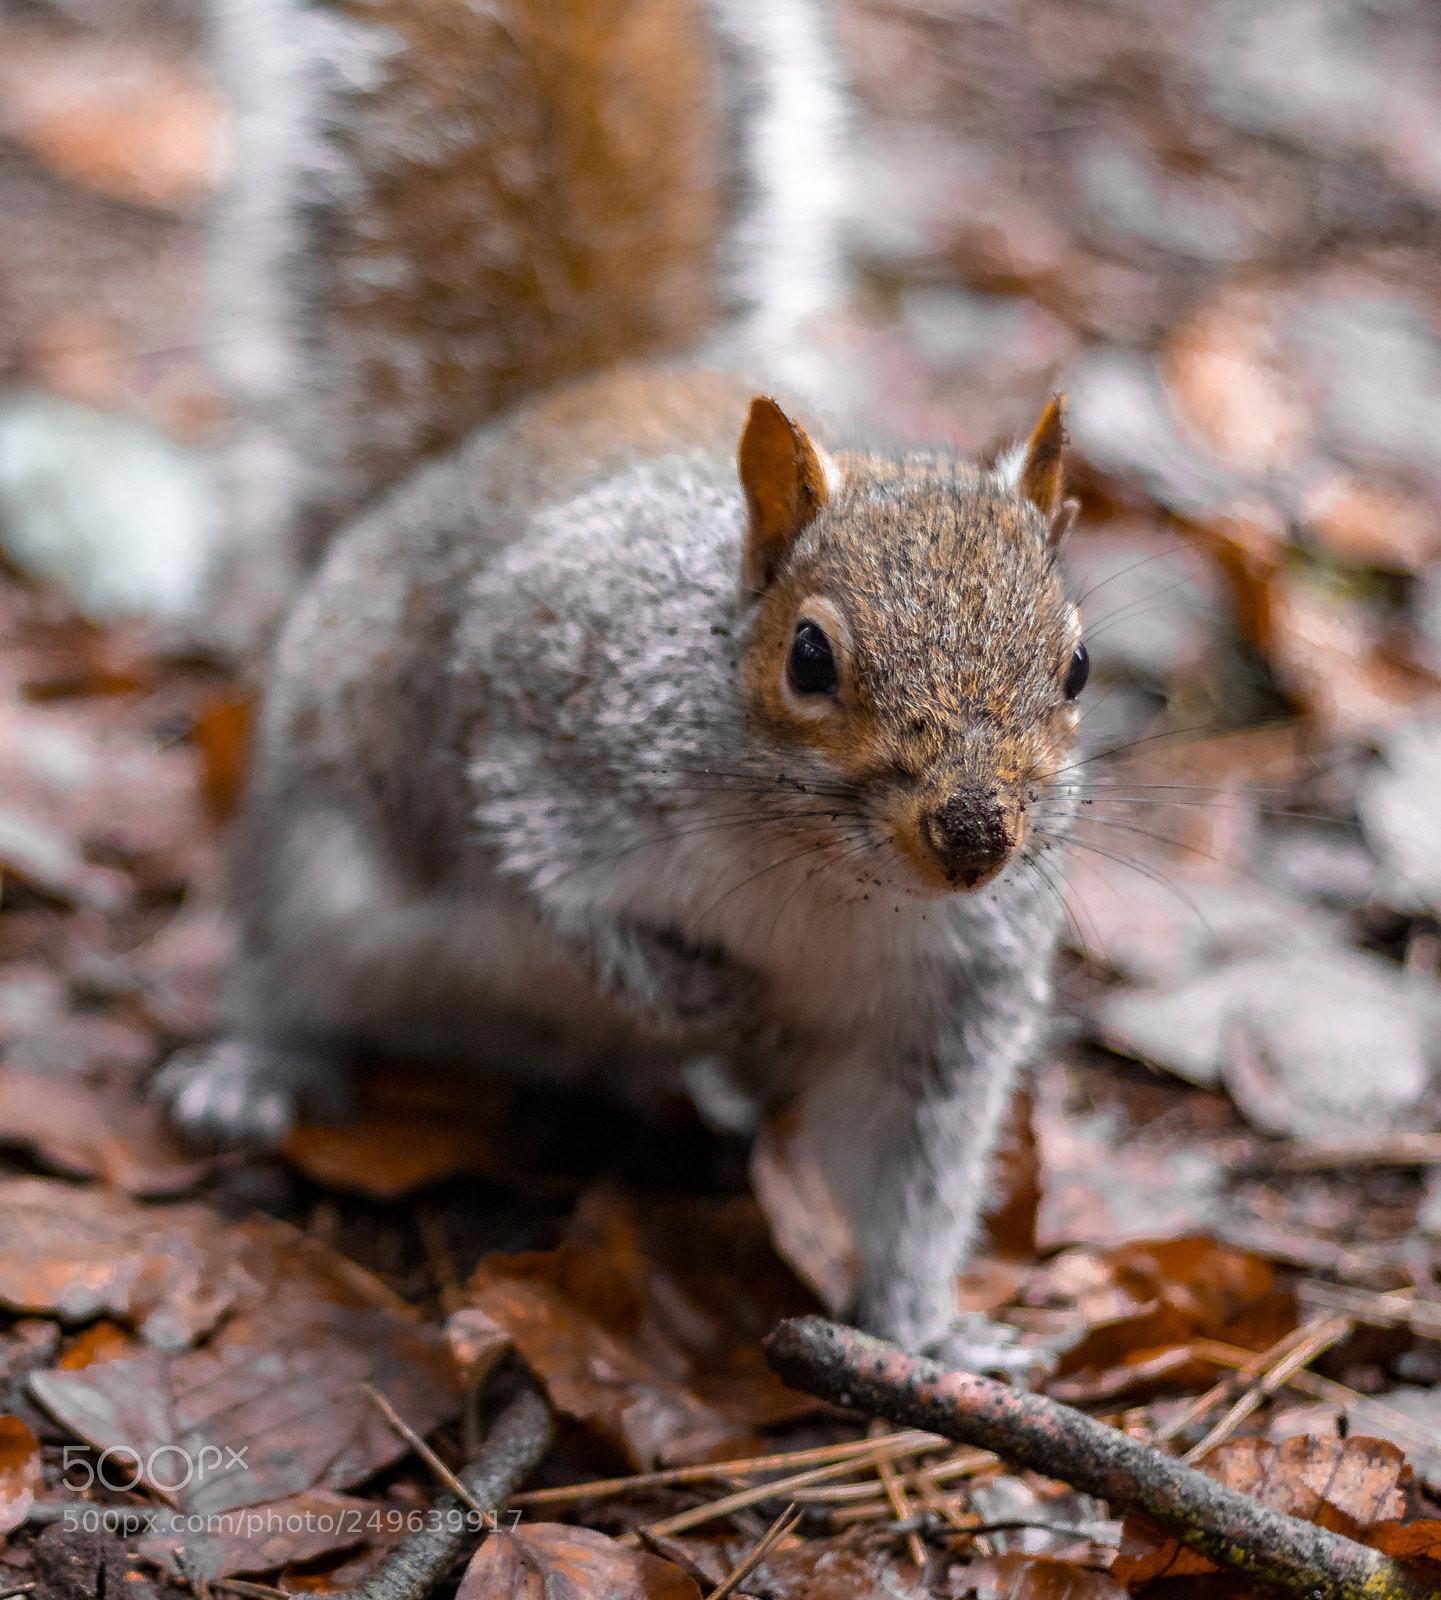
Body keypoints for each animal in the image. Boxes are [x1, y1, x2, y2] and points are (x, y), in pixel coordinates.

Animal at [165, 0, 1093, 1350]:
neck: (827, 879)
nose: (973, 838)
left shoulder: (942, 1011)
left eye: (1076, 666)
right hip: (310, 862)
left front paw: (922, 1327)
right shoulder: (543, 716)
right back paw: (258, 1072)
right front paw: (690, 994)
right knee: (294, 977)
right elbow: (550, 886)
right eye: (809, 656)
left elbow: (910, 1171)